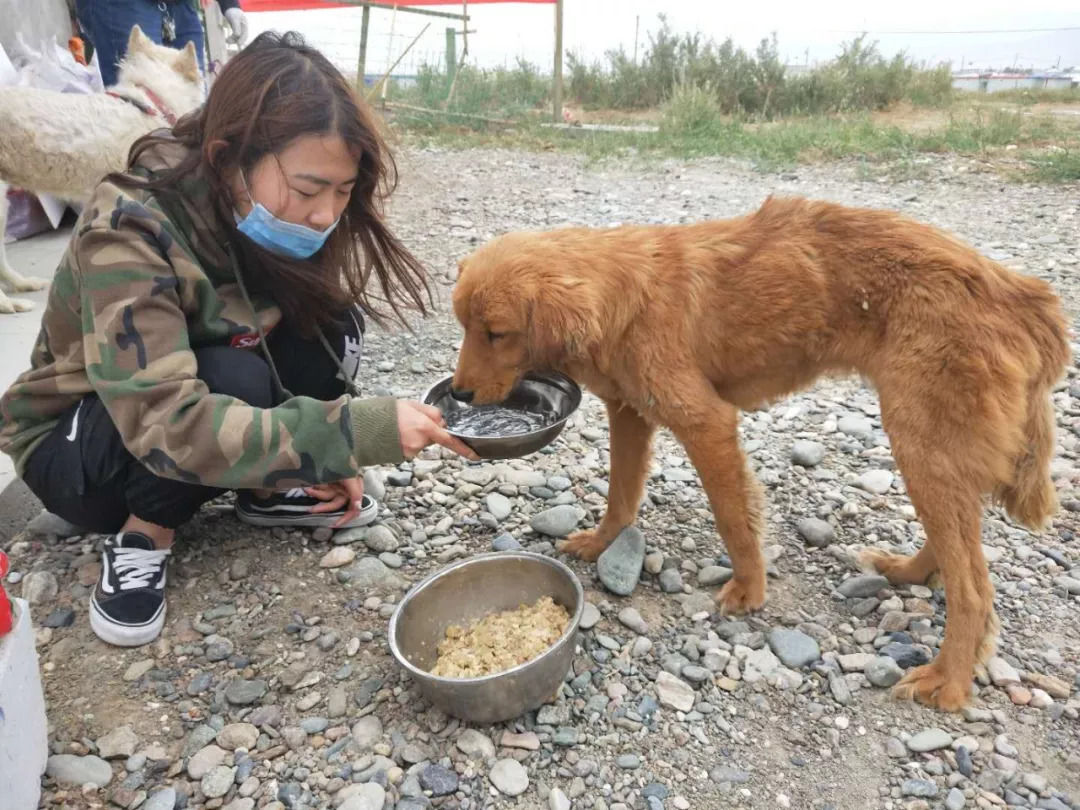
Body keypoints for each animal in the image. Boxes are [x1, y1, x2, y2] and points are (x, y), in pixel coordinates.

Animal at [449, 198, 1071, 717]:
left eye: (497, 333)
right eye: (465, 327)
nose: (458, 394)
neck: (623, 296)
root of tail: (1022, 294)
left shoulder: (706, 422)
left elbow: (732, 517)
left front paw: (749, 589)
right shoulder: (629, 412)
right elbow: (621, 494)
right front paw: (603, 543)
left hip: (918, 438)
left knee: (975, 589)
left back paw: (949, 680)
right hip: (931, 446)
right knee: (955, 547)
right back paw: (909, 573)